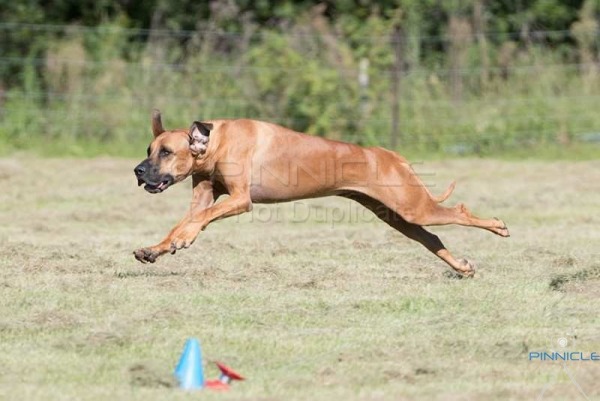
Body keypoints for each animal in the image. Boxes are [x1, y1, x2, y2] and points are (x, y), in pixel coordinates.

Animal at [134, 111, 508, 276]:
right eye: (149, 150)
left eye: (166, 152)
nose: (138, 171)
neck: (214, 143)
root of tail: (391, 155)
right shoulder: (203, 192)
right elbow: (188, 218)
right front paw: (156, 248)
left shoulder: (241, 200)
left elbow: (203, 217)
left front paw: (182, 239)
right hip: (399, 216)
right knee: (431, 238)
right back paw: (462, 267)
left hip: (413, 206)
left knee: (459, 211)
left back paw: (498, 226)